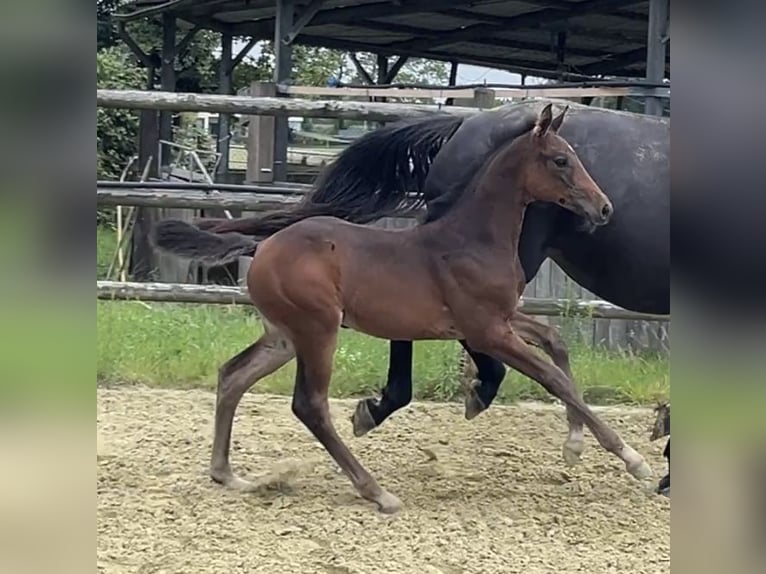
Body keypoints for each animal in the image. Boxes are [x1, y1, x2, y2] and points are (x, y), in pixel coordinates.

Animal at [154, 104, 652, 513]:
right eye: (561, 160)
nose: (604, 208)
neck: (471, 239)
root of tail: (261, 247)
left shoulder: (499, 320)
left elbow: (556, 343)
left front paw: (576, 444)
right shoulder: (487, 331)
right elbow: (554, 379)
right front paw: (634, 460)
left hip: (284, 336)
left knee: (232, 376)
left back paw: (227, 474)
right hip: (318, 329)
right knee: (309, 405)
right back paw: (377, 492)